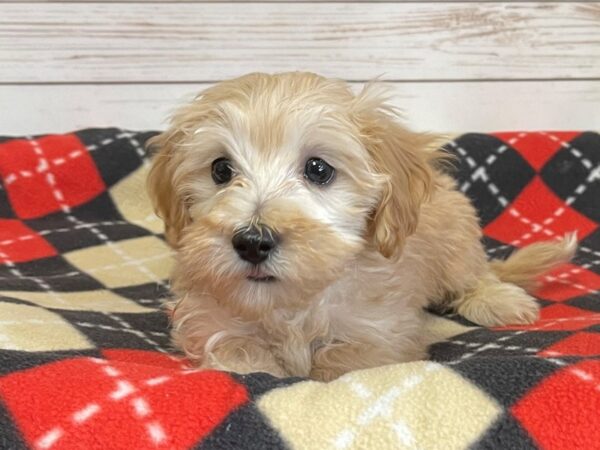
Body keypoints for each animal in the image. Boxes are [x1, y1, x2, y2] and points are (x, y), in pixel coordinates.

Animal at [146, 72, 576, 382]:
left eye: (318, 169)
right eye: (220, 169)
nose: (252, 242)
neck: (294, 302)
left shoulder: (383, 332)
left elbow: (347, 360)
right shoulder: (210, 321)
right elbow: (239, 353)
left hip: (456, 238)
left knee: (474, 275)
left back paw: (500, 299)